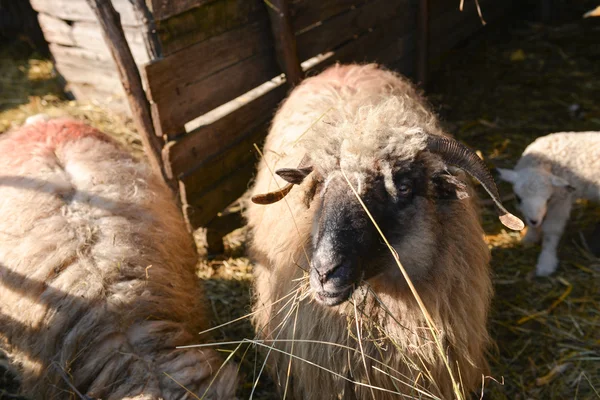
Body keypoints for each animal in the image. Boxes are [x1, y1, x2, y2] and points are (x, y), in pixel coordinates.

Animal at [496, 130, 600, 276]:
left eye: (547, 198)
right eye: (518, 198)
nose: (534, 221)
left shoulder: (561, 200)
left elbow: (551, 230)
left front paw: (546, 263)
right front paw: (530, 237)